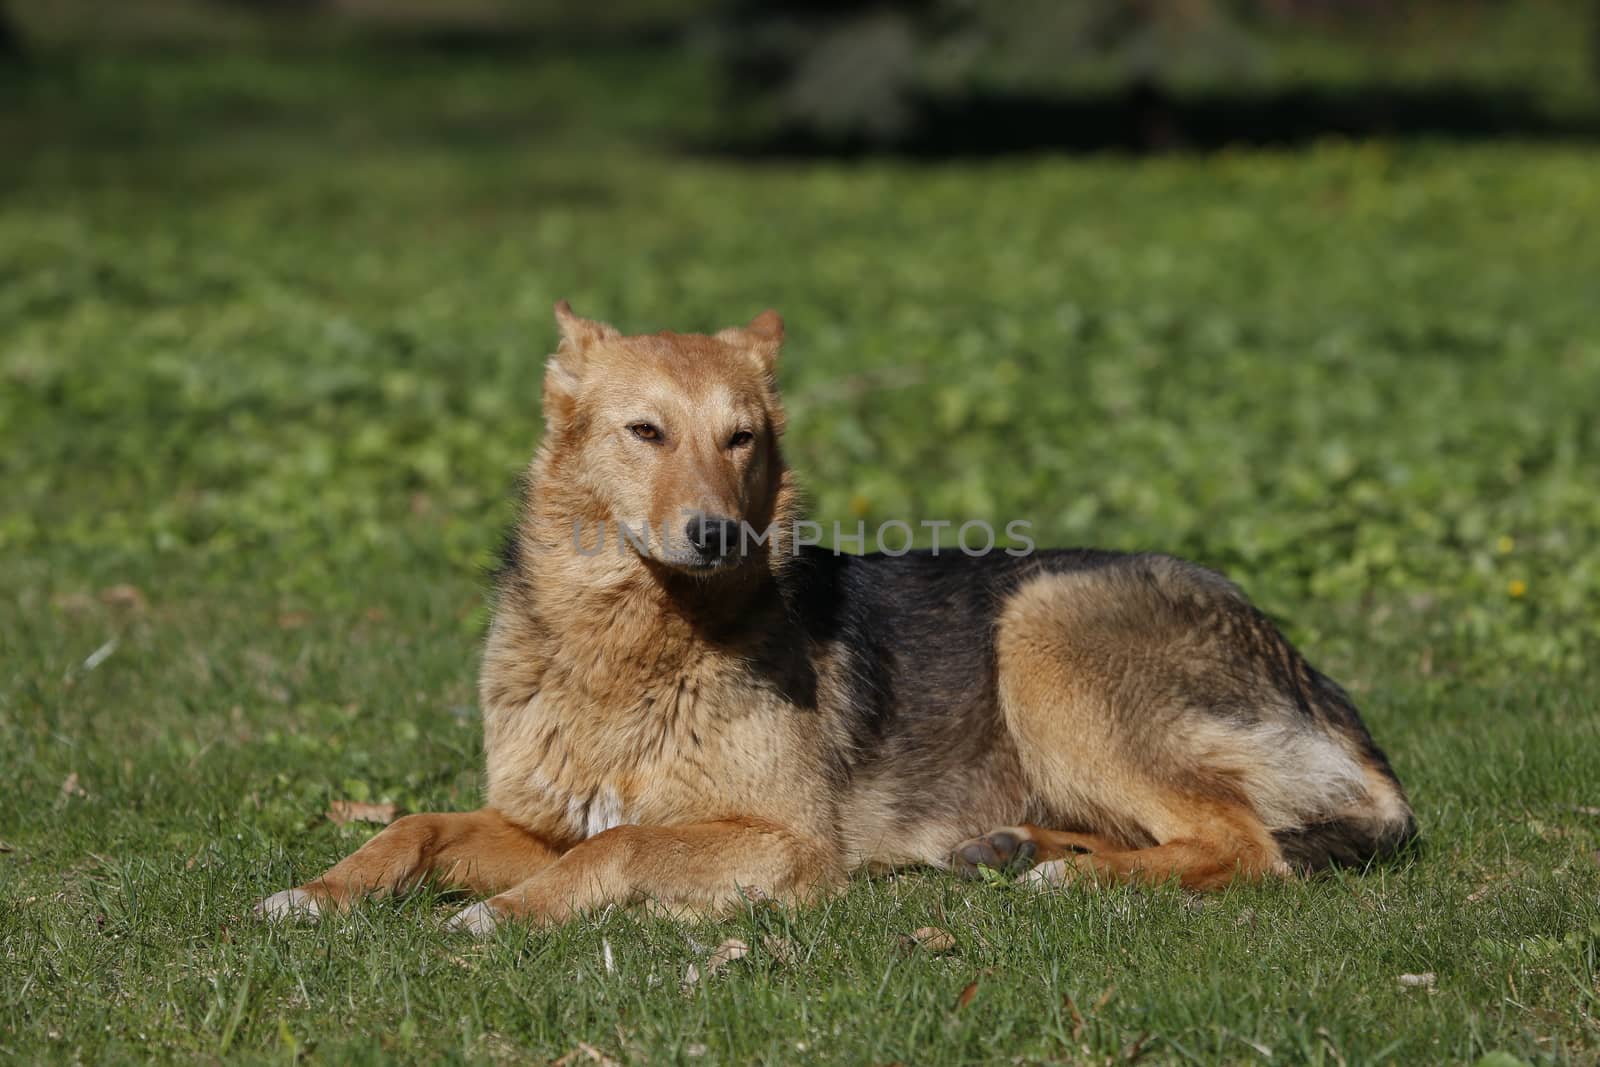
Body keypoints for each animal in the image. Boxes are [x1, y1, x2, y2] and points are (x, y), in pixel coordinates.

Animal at [256, 302, 1420, 934]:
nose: (718, 533)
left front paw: (503, 914)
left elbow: (620, 846)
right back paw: (1012, 846)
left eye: (740, 438)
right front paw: (313, 892)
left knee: (1243, 843)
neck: (633, 645)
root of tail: (1310, 674)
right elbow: (414, 824)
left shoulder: (784, 842)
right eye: (644, 431)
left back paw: (1065, 874)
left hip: (1041, 629)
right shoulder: (534, 819)